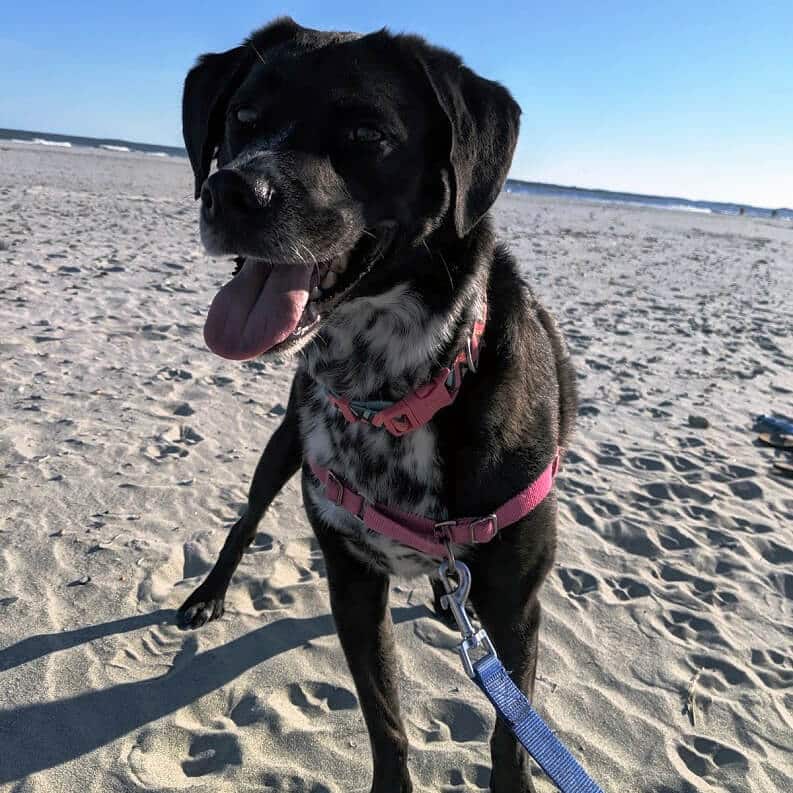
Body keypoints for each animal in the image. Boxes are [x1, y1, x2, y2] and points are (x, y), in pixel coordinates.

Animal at [178, 18, 576, 792]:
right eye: (242, 118)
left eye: (367, 134)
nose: (229, 191)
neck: (394, 393)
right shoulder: (353, 580)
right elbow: (385, 722)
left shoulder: (517, 605)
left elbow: (510, 740)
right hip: (283, 444)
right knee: (247, 517)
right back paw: (209, 592)